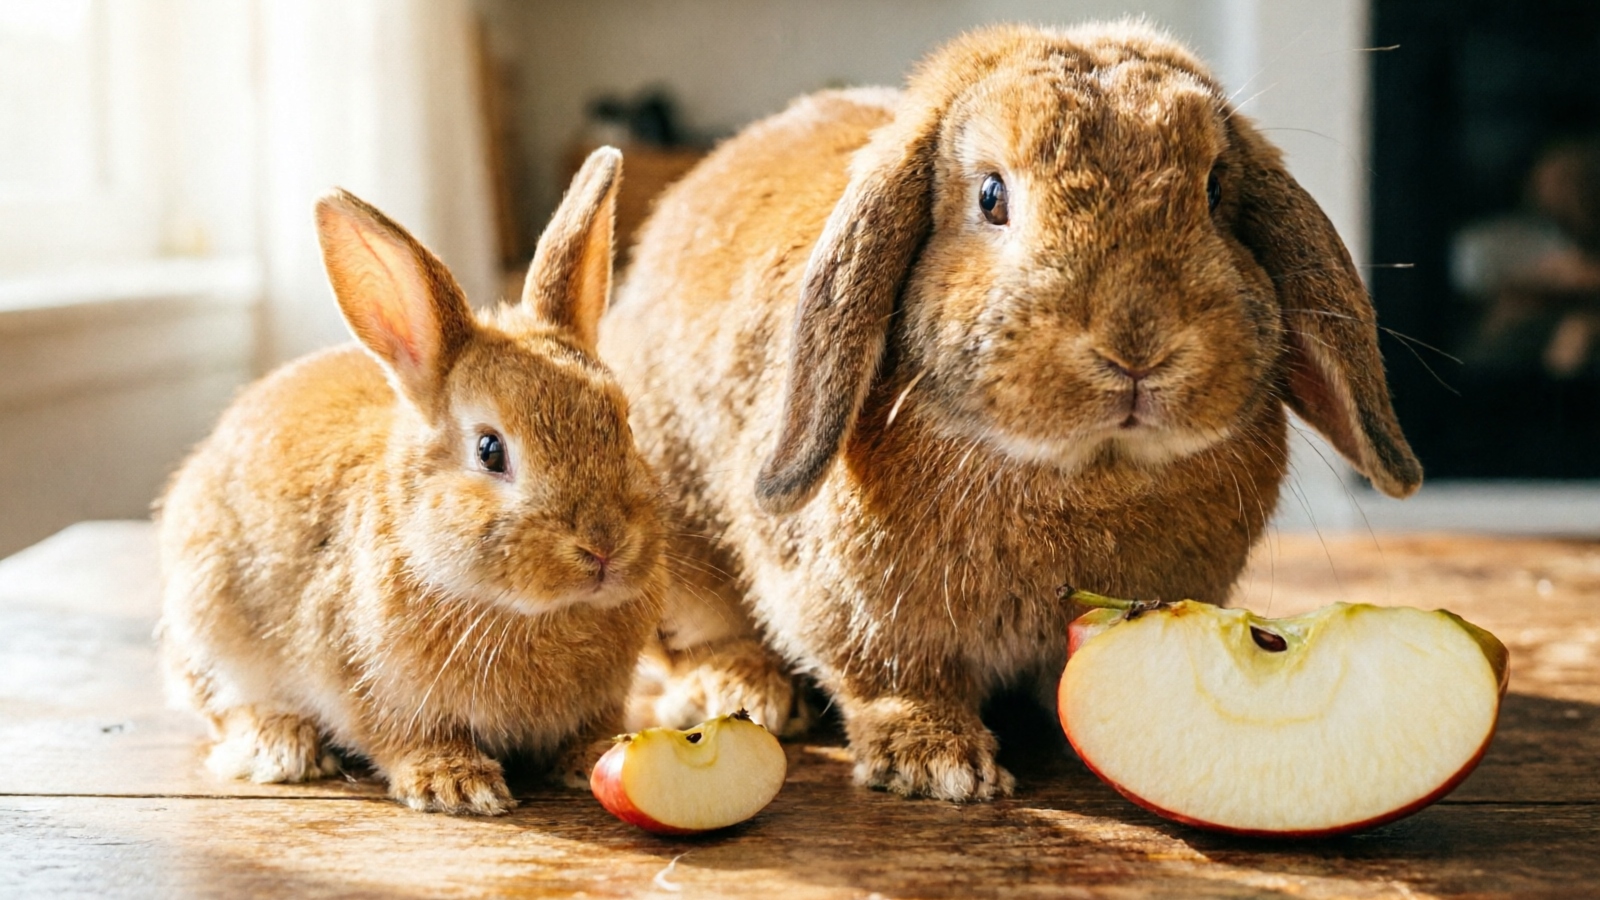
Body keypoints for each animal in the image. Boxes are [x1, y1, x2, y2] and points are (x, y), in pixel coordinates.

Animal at [156, 147, 664, 815]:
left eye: (623, 423)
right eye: (490, 450)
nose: (605, 546)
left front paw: (595, 755)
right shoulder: (363, 681)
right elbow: (399, 735)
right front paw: (456, 782)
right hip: (207, 622)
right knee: (225, 707)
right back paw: (282, 746)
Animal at [599, 21, 1423, 802]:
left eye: (1217, 191)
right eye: (992, 196)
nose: (1137, 346)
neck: (1093, 473)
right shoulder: (858, 612)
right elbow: (891, 681)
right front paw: (938, 764)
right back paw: (745, 693)